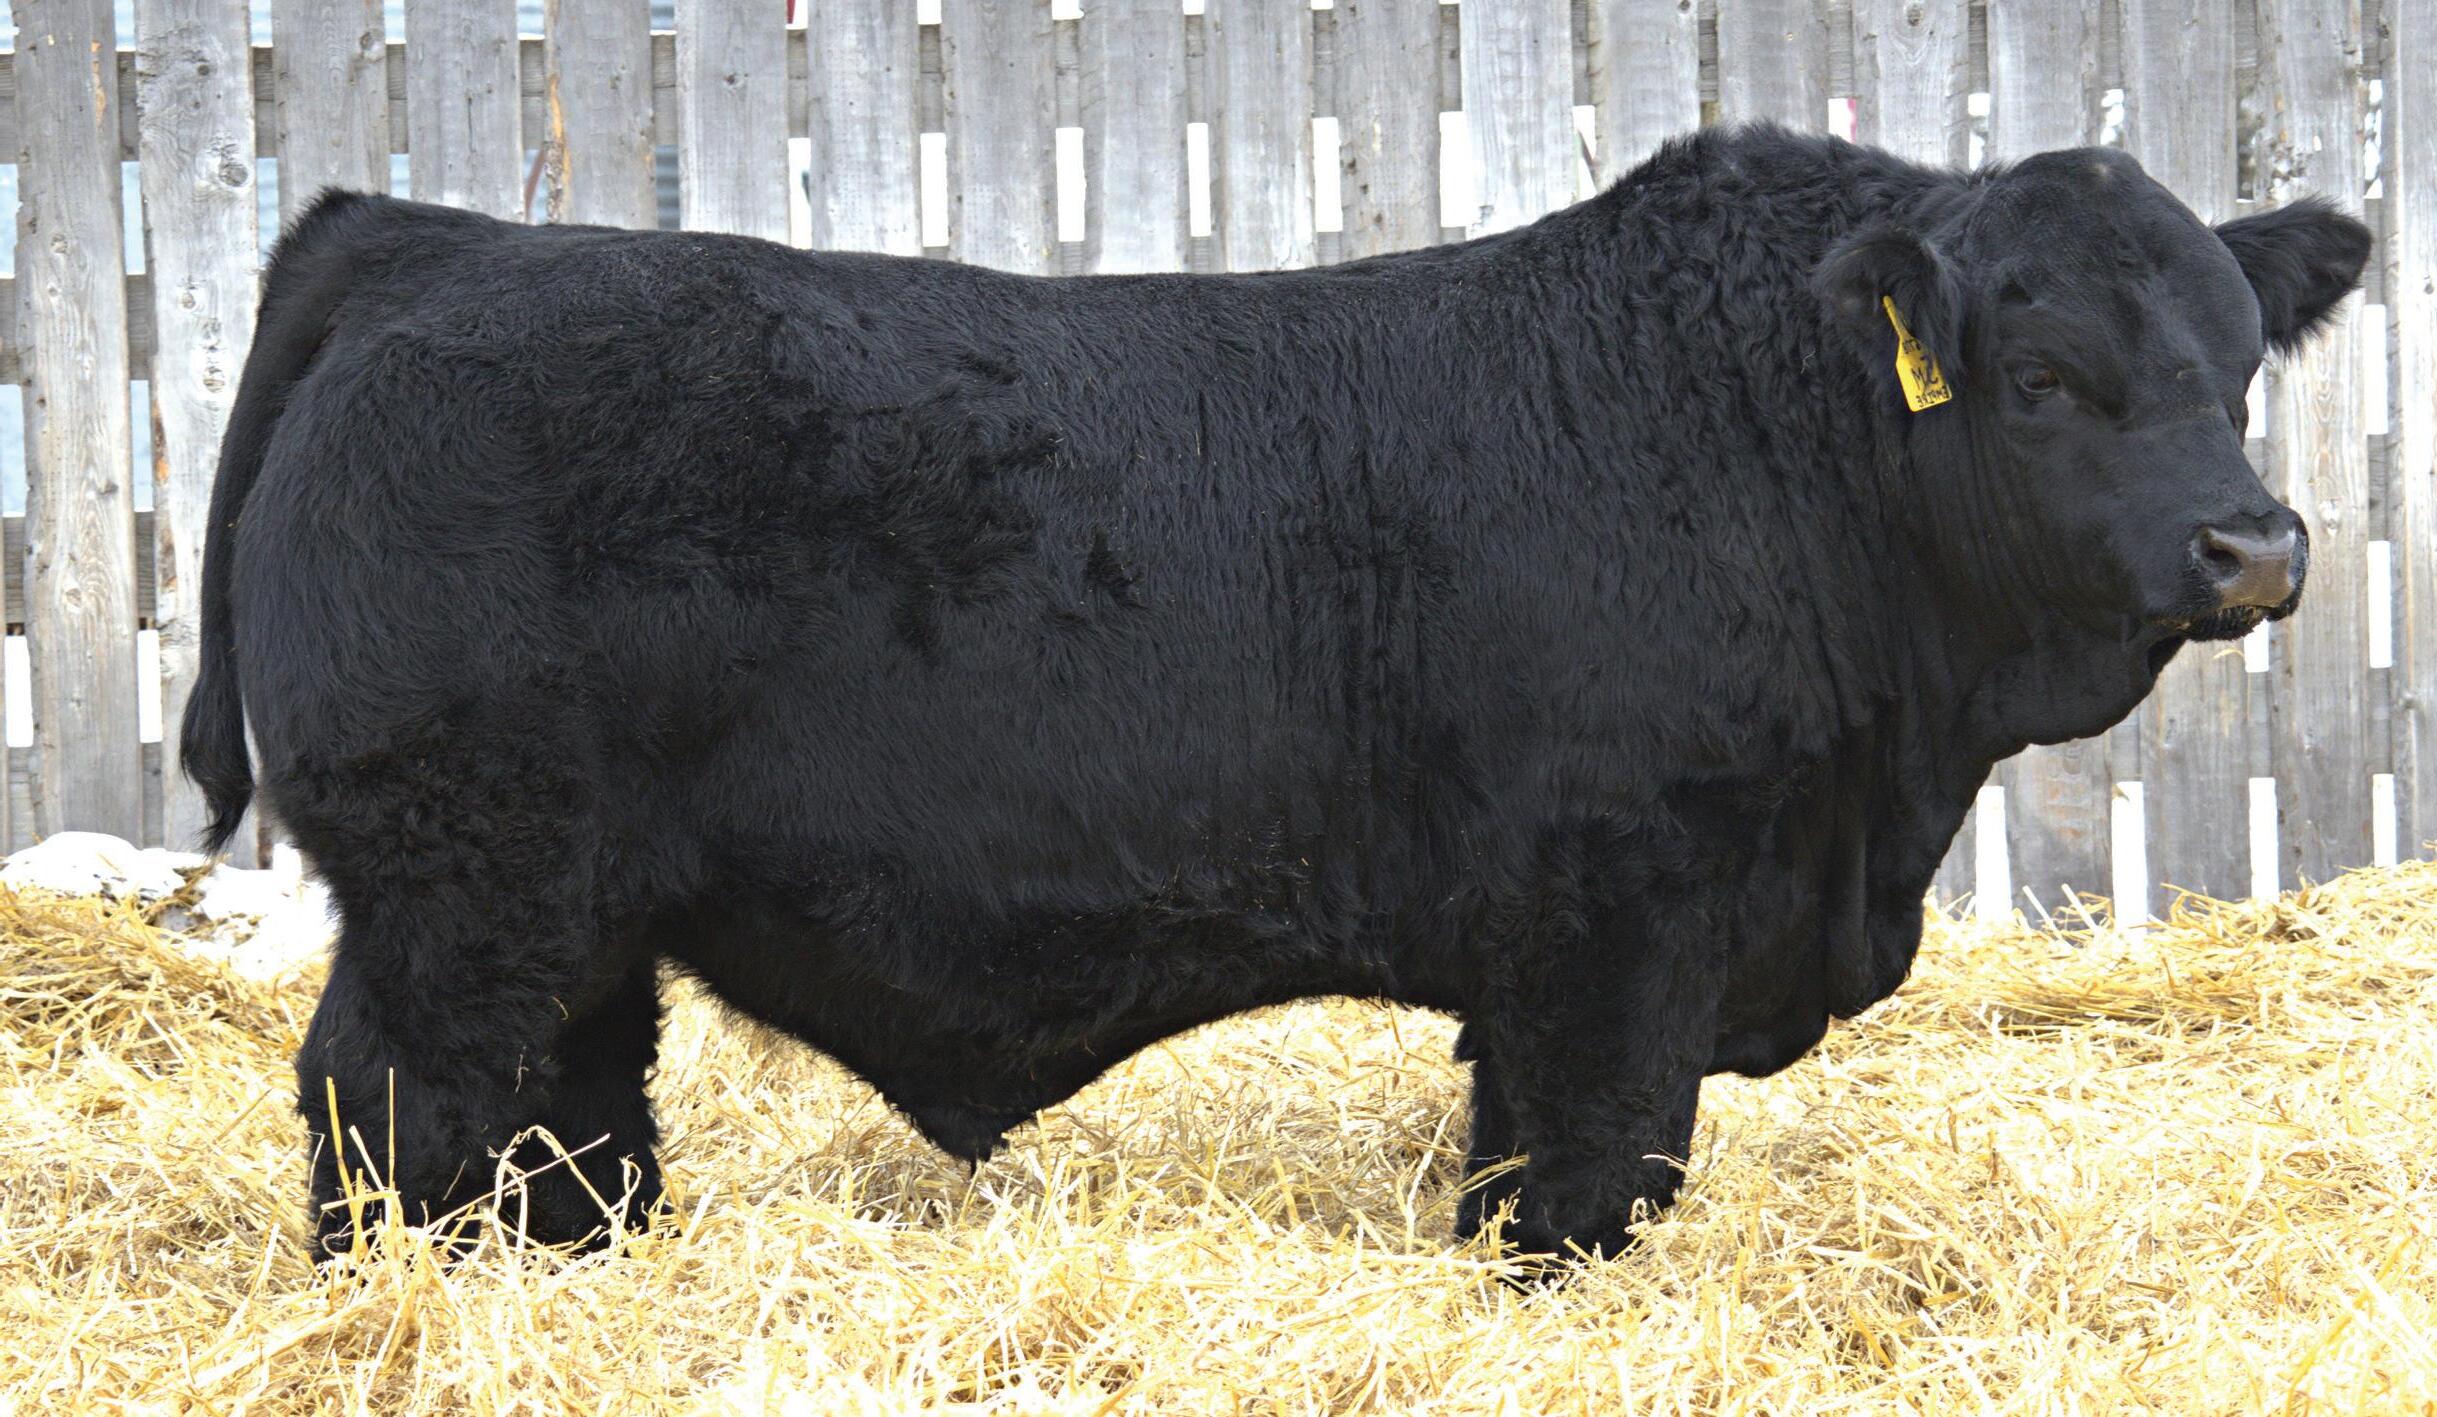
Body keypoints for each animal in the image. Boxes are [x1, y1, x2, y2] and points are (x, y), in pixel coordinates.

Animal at [183, 124, 2368, 1262]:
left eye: (2234, 359)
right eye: (2046, 377)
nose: (2253, 545)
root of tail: (429, 244)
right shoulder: (1620, 918)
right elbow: (1591, 1169)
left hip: (573, 909)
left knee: (575, 1114)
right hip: (457, 882)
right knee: (389, 1098)